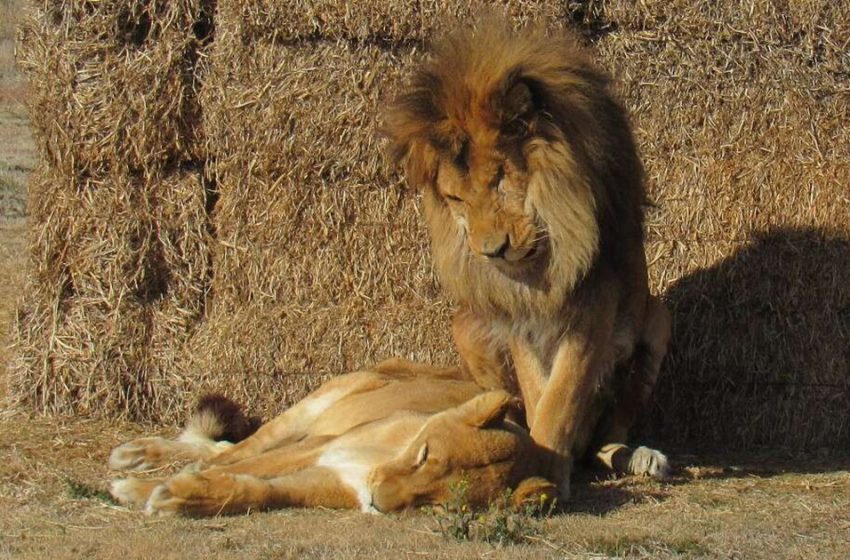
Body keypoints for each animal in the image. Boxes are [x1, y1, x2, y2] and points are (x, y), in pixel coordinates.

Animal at [107, 358, 556, 516]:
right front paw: (142, 489)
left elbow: (255, 489)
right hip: (313, 408)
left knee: (221, 448)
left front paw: (181, 497)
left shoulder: (331, 479)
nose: (376, 502)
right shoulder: (320, 446)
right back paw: (134, 455)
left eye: (438, 504)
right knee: (232, 449)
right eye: (425, 455)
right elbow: (239, 466)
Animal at [382, 21, 668, 496]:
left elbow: (562, 397)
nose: (491, 250)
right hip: (465, 327)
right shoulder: (518, 314)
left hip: (658, 321)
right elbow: (537, 395)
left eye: (500, 179)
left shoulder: (595, 307)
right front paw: (534, 455)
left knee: (605, 437)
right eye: (456, 198)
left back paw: (636, 455)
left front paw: (548, 467)